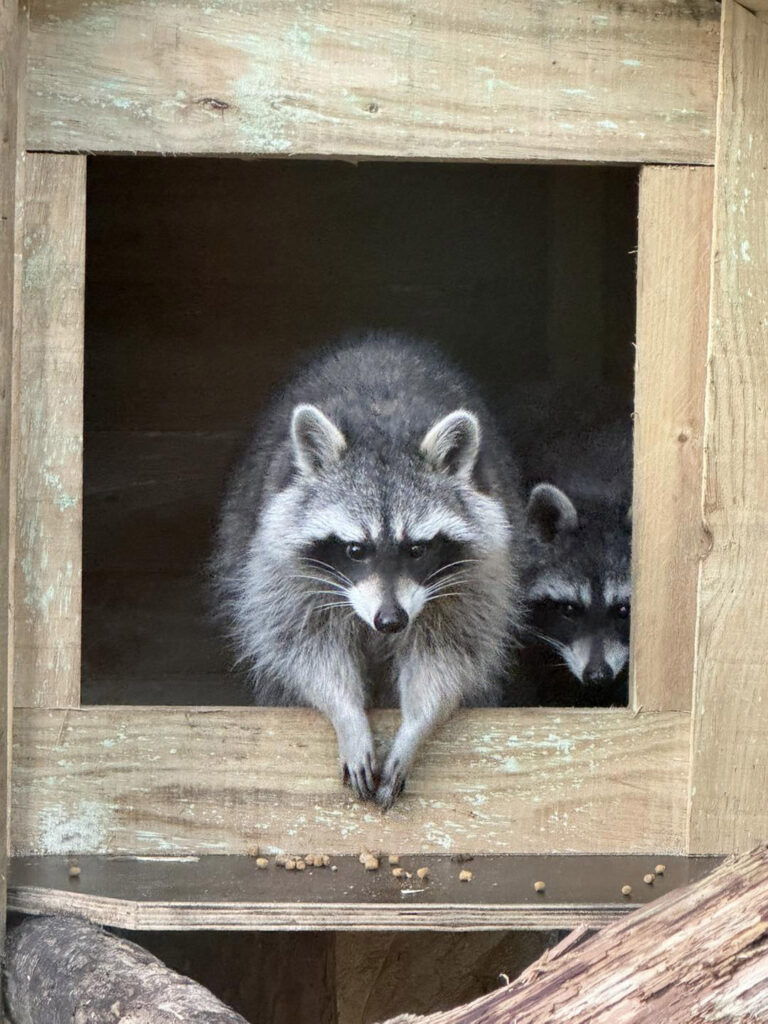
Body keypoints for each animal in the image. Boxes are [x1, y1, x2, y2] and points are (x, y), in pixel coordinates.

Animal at [214, 335, 528, 806]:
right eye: (355, 550)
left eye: (416, 549)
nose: (391, 620)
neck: (384, 422)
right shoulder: (281, 567)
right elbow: (305, 645)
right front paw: (347, 716)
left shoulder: (478, 575)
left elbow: (450, 653)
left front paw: (415, 728)